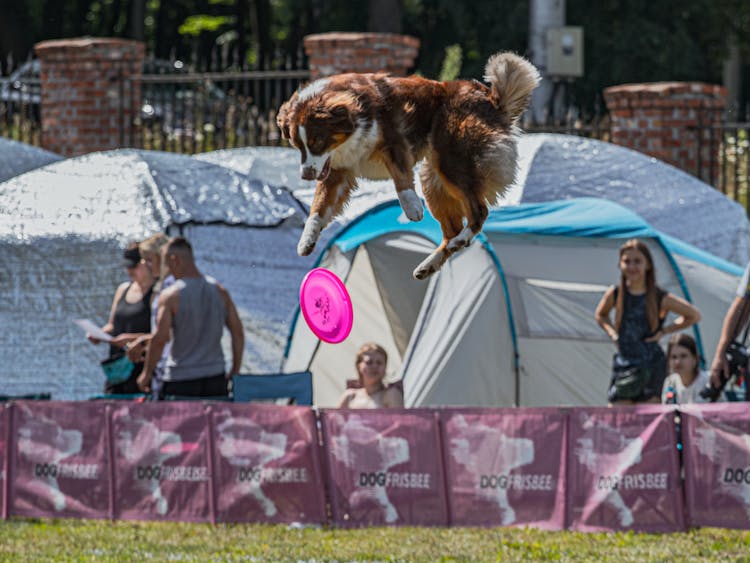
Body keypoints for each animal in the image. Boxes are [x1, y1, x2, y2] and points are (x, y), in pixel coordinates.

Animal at [276, 52, 540, 280]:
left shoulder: (394, 139)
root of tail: (492, 100)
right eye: (297, 145)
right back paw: (429, 264)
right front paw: (306, 240)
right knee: (453, 229)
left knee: (479, 212)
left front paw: (412, 207)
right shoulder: (337, 170)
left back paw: (460, 239)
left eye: (317, 141)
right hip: (432, 178)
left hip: (451, 161)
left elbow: (400, 177)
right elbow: (319, 206)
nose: (306, 175)